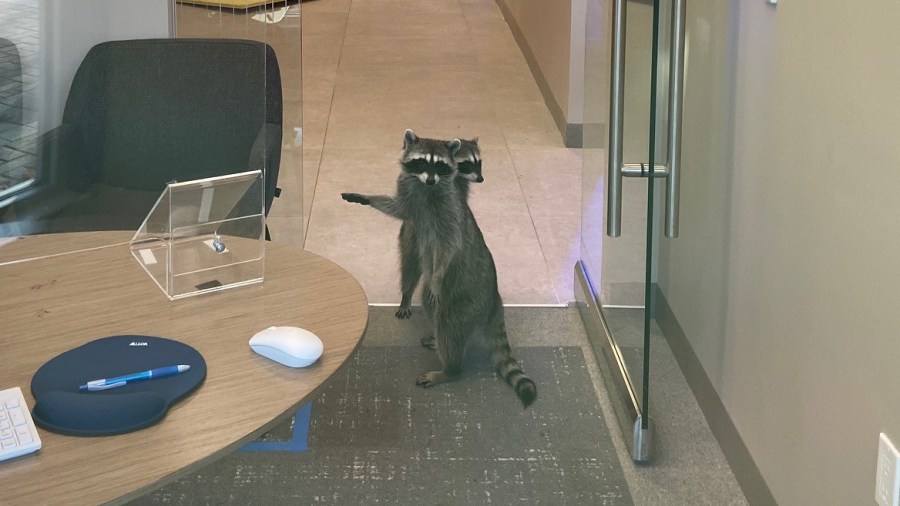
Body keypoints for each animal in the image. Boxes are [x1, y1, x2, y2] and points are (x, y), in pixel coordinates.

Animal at [338, 129, 536, 408]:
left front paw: (438, 272)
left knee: (449, 324)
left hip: (464, 300)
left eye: (440, 165)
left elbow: (448, 246)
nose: (431, 180)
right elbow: (398, 208)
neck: (426, 186)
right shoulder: (411, 198)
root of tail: (493, 300)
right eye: (422, 162)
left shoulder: (449, 209)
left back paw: (450, 370)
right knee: (431, 304)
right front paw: (366, 197)